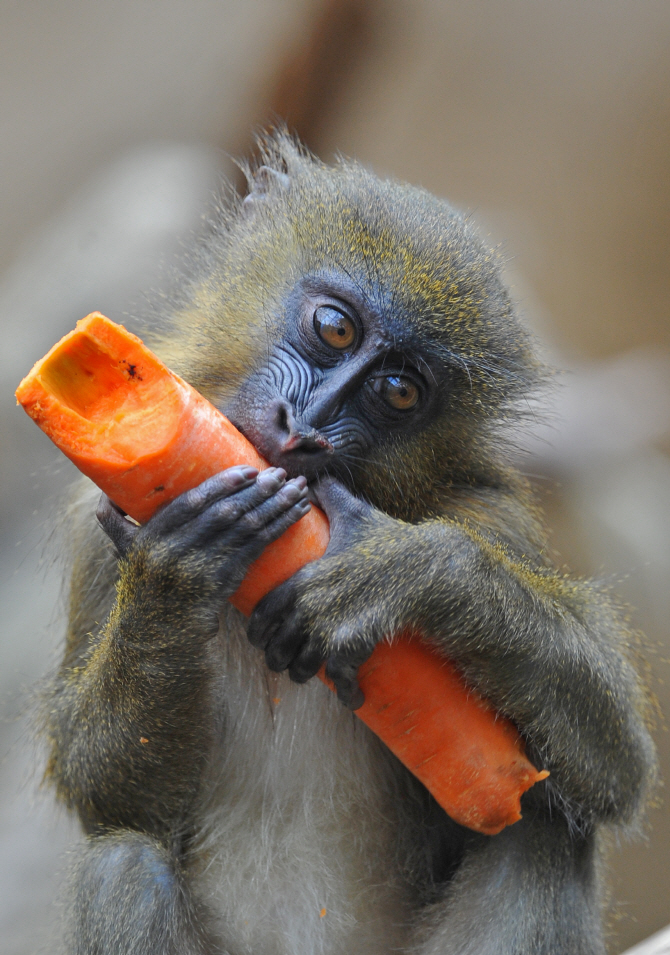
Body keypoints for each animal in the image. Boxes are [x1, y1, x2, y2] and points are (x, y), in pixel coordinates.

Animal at [46, 136, 656, 955]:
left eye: (398, 391)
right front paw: (176, 577)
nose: (306, 428)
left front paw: (408, 571)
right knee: (126, 862)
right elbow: (106, 792)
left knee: (543, 828)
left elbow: (620, 767)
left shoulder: (492, 517)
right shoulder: (94, 528)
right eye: (335, 328)